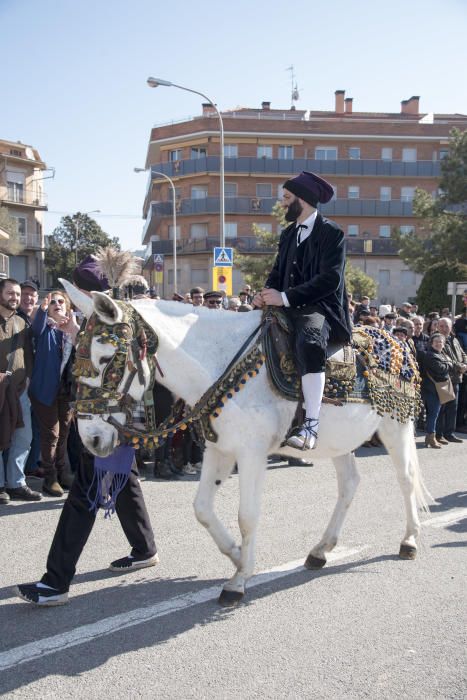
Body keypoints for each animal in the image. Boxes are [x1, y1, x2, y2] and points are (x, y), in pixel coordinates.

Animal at [62, 282, 432, 604]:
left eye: (106, 359)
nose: (91, 438)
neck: (218, 364)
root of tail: (398, 340)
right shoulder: (218, 449)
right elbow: (202, 509)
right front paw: (239, 556)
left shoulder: (251, 454)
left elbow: (247, 516)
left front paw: (239, 581)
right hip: (338, 441)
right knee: (350, 485)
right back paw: (321, 550)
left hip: (396, 426)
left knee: (406, 479)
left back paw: (410, 541)